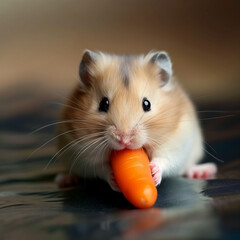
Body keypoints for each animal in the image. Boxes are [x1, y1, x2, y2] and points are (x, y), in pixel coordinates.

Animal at [56, 49, 218, 190]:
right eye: (103, 104)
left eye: (147, 104)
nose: (124, 140)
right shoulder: (84, 154)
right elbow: (101, 168)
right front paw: (113, 178)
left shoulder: (176, 143)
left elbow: (164, 159)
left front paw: (153, 172)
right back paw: (64, 180)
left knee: (188, 167)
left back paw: (205, 170)